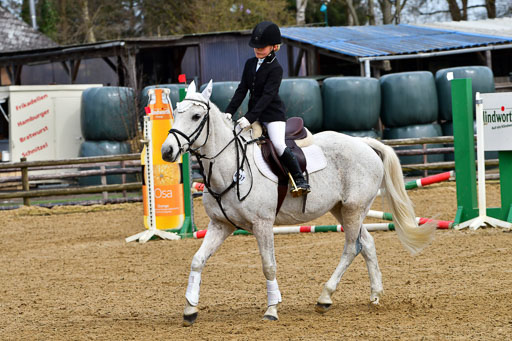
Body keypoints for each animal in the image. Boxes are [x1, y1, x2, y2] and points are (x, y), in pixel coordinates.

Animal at [162, 79, 434, 324]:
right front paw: (190, 310)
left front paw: (272, 309)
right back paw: (374, 295)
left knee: (351, 247)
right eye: (176, 112)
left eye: (196, 116)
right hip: (342, 209)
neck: (230, 166)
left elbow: (269, 265)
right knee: (366, 243)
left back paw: (325, 297)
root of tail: (362, 143)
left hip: (354, 209)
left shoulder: (262, 224)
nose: (166, 151)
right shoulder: (221, 225)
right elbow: (197, 260)